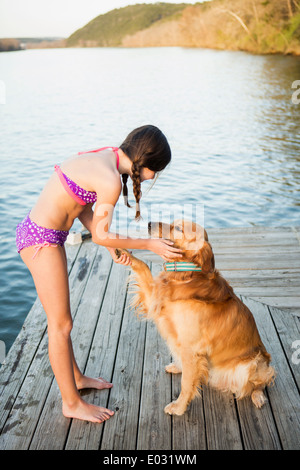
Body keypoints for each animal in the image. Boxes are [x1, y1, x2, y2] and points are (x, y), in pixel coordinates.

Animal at [116, 220, 274, 414]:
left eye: (178, 228)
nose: (149, 224)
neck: (185, 275)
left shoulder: (192, 348)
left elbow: (186, 383)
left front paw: (178, 407)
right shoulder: (155, 300)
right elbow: (143, 266)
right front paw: (123, 251)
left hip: (254, 362)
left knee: (258, 384)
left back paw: (258, 396)